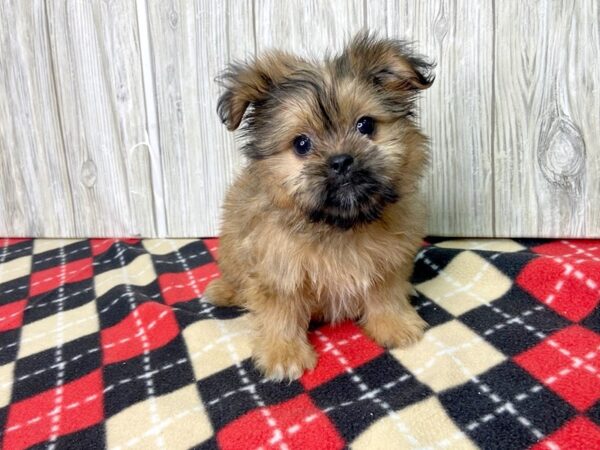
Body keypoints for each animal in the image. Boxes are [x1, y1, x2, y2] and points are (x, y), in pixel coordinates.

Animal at [204, 33, 434, 382]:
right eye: (302, 144)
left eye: (365, 125)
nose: (341, 161)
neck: (339, 226)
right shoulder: (276, 270)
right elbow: (279, 312)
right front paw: (284, 353)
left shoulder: (390, 260)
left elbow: (386, 293)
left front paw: (394, 324)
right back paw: (224, 290)